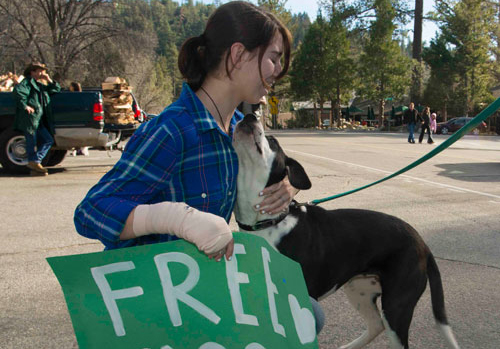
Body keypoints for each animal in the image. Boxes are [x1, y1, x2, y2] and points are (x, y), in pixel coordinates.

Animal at [232, 114, 458, 348]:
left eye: (273, 141)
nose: (249, 115)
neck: (268, 222)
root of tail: (422, 243)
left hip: (396, 306)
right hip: (359, 290)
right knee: (375, 325)